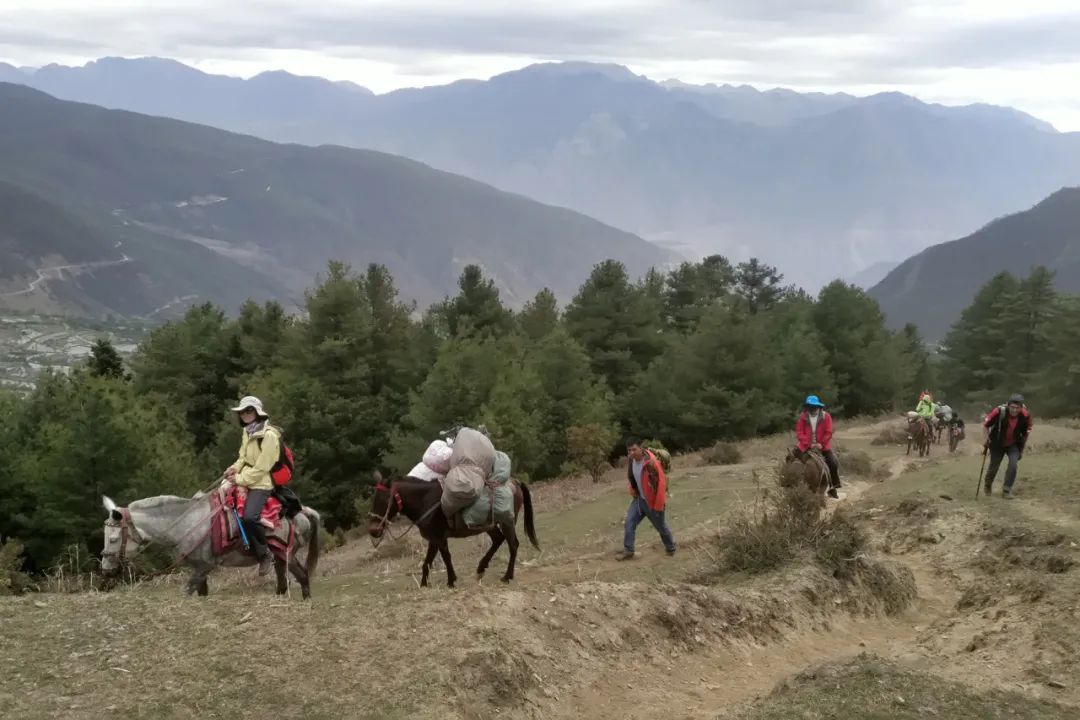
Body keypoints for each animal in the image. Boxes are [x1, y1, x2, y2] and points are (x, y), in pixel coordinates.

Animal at [100, 492, 319, 600]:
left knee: (302, 575)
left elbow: (188, 592)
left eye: (113, 539)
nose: (106, 569)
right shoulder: (199, 568)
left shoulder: (204, 566)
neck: (187, 523)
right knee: (284, 580)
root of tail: (303, 513)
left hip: (287, 553)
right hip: (280, 556)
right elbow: (201, 592)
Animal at [369, 474, 540, 587]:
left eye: (383, 499)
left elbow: (446, 558)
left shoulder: (439, 537)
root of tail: (515, 482)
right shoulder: (434, 538)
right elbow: (428, 562)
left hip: (507, 522)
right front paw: (424, 584)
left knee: (513, 545)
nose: (373, 530)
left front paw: (451, 581)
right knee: (498, 540)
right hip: (488, 525)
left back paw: (507, 576)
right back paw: (481, 569)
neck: (425, 500)